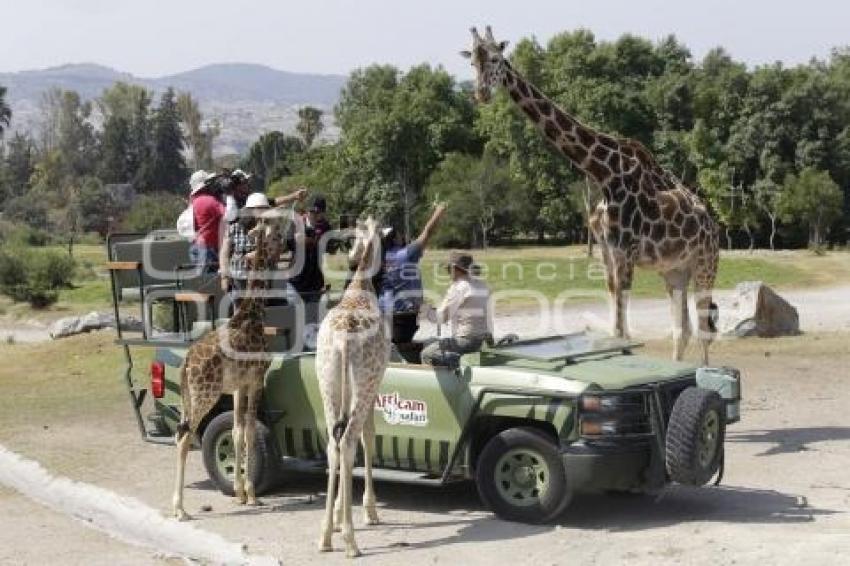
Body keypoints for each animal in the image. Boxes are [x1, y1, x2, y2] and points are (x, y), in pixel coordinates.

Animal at [171, 215, 274, 520]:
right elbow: (249, 431)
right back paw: (180, 509)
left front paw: (239, 492)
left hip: (189, 396)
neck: (253, 314)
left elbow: (238, 431)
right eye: (273, 231)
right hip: (206, 393)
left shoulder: (238, 386)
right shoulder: (256, 380)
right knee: (185, 436)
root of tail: (186, 363)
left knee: (179, 433)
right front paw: (251, 495)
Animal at [460, 24, 720, 364]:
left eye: (495, 58)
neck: (605, 174)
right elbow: (617, 329)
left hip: (705, 264)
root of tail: (712, 223)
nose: (481, 94)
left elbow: (623, 330)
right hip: (675, 271)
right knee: (683, 330)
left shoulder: (627, 251)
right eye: (472, 63)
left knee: (704, 329)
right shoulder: (608, 252)